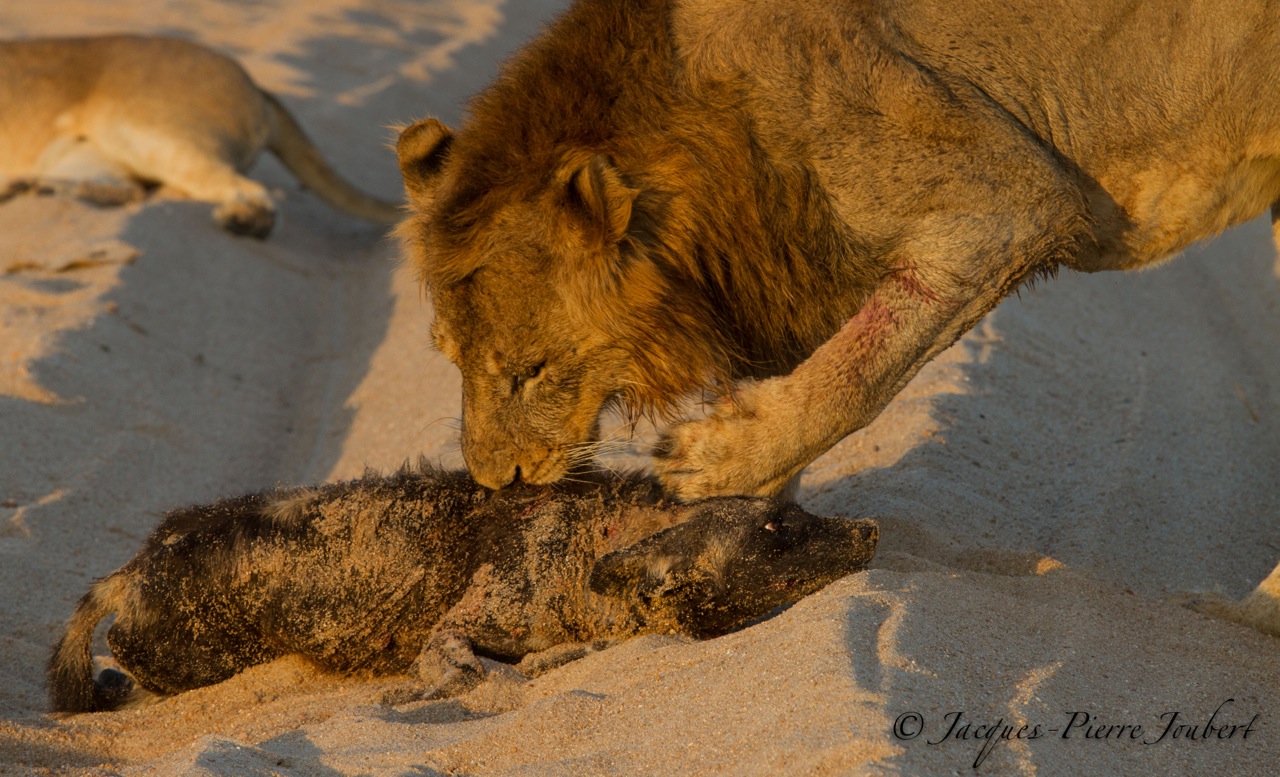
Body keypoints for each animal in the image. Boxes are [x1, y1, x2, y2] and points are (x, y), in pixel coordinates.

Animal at [0, 34, 400, 237]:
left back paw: (243, 221)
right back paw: (27, 188)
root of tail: (258, 88)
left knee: (252, 191)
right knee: (124, 189)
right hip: (90, 153)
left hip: (141, 130)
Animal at [395, 0, 1280, 634]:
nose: (496, 482)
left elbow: (859, 371)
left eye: (530, 370)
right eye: (449, 357)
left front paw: (710, 459)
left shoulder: (1011, 198)